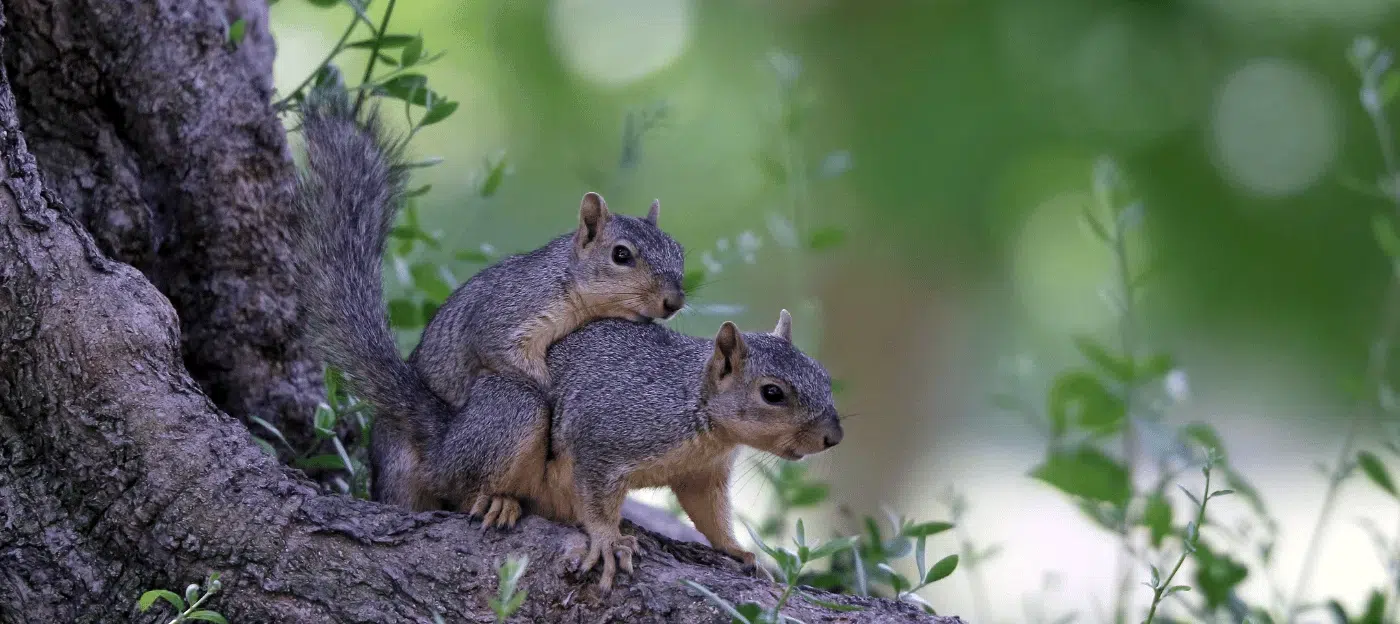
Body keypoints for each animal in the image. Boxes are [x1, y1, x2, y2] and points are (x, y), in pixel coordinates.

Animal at [436, 312, 845, 590]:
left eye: (824, 375)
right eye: (772, 393)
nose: (834, 437)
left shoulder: (704, 474)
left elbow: (709, 513)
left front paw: (735, 549)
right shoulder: (603, 442)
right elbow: (597, 499)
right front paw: (607, 541)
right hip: (514, 414)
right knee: (458, 487)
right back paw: (498, 502)